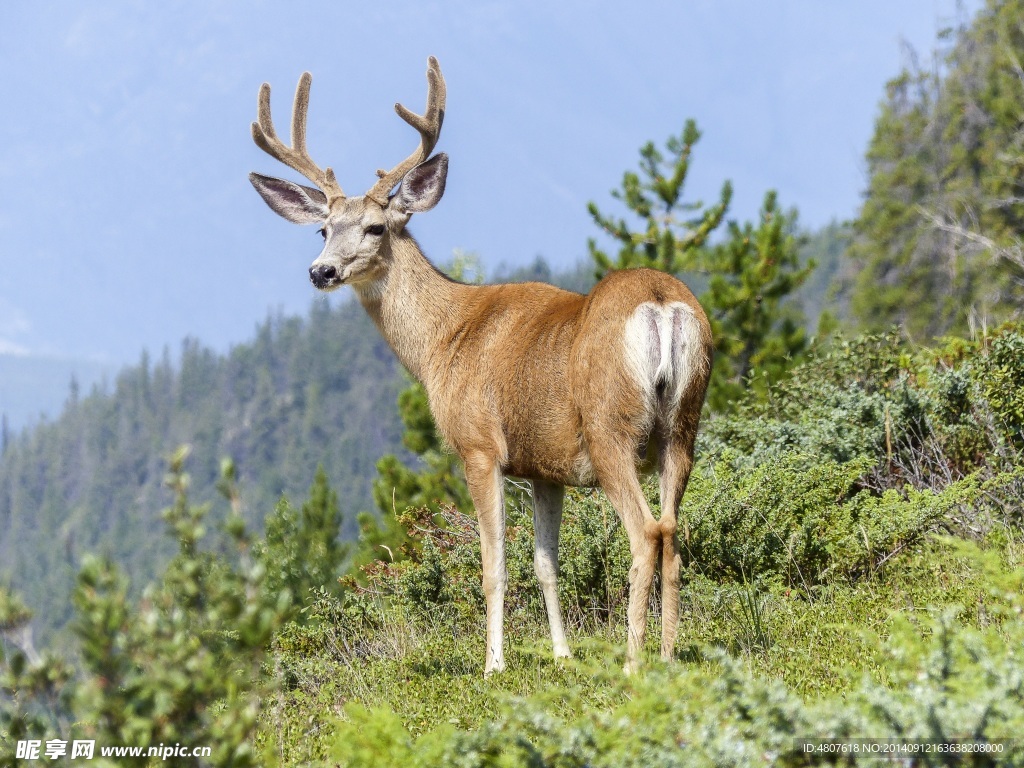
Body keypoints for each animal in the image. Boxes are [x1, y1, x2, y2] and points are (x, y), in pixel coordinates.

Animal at [247, 58, 712, 671]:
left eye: (375, 227)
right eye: (323, 229)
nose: (320, 271)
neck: (443, 341)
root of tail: (661, 304)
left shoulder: (479, 445)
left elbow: (494, 567)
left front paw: (494, 664)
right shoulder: (545, 467)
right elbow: (546, 564)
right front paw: (562, 656)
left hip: (611, 427)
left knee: (647, 533)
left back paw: (634, 660)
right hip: (683, 424)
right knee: (675, 532)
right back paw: (667, 656)